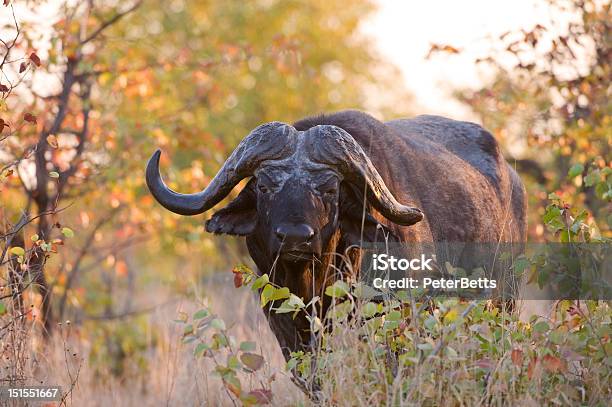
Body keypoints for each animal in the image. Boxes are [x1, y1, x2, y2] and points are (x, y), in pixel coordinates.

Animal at [147, 111, 524, 364]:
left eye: (330, 189)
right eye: (265, 186)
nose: (295, 237)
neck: (315, 280)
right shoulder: (283, 324)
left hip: (506, 300)